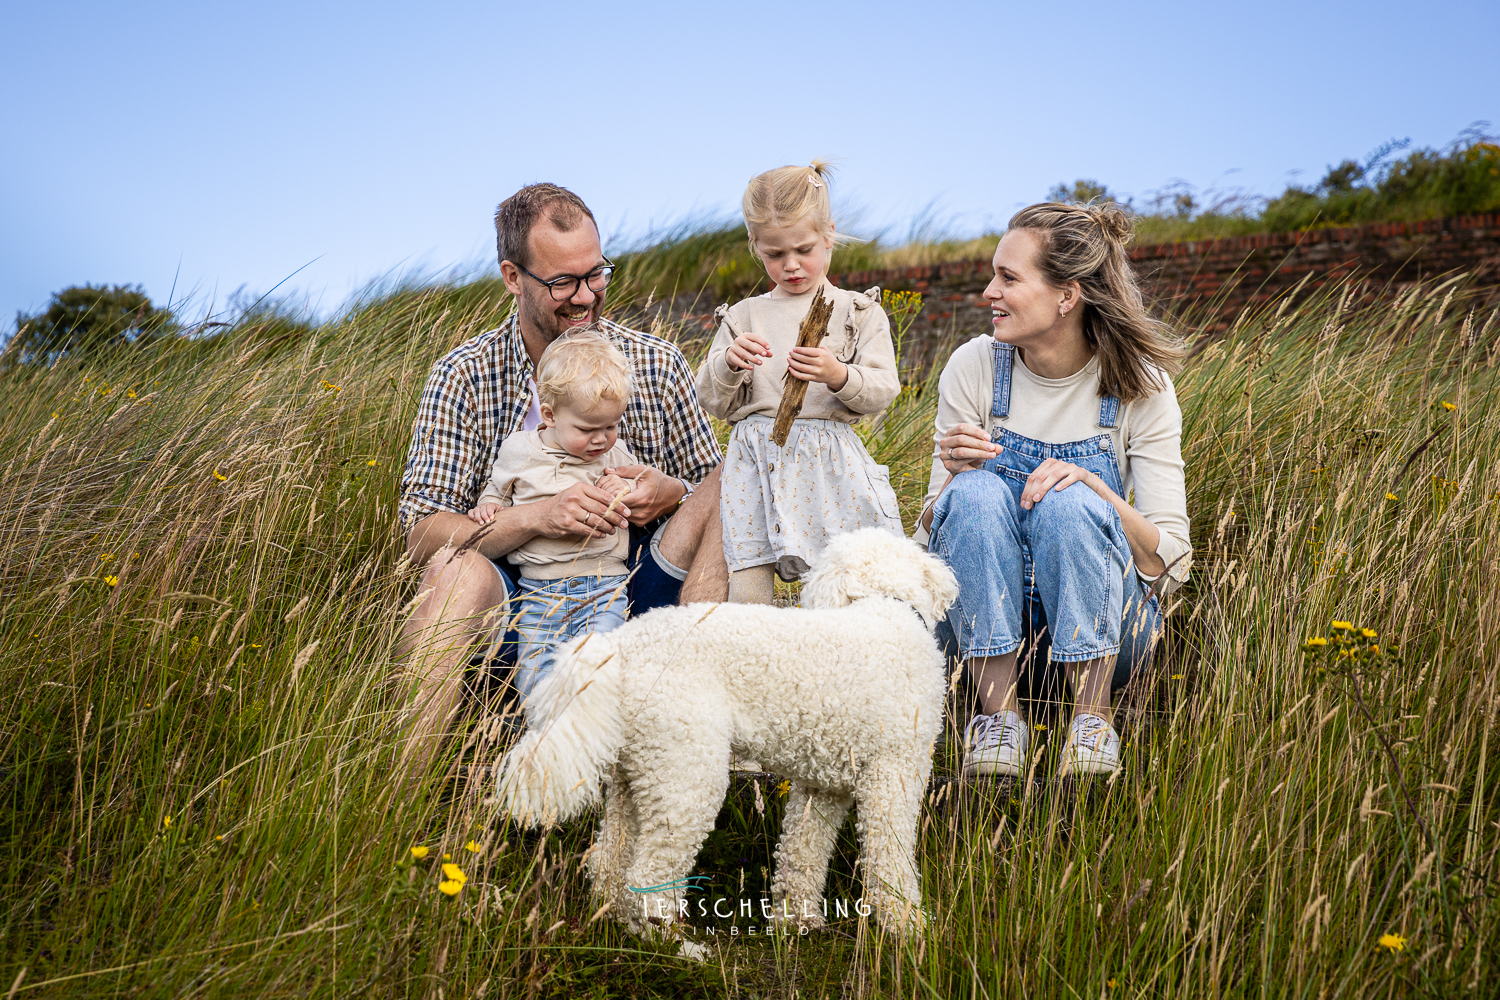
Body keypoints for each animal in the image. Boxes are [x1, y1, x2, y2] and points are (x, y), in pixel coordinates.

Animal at [492, 527, 960, 941]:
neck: (885, 605)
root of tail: (619, 648)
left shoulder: (820, 788)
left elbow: (803, 853)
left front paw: (798, 921)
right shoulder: (894, 777)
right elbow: (891, 861)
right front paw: (909, 927)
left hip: (636, 776)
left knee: (609, 861)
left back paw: (614, 923)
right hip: (687, 775)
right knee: (648, 876)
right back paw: (674, 947)